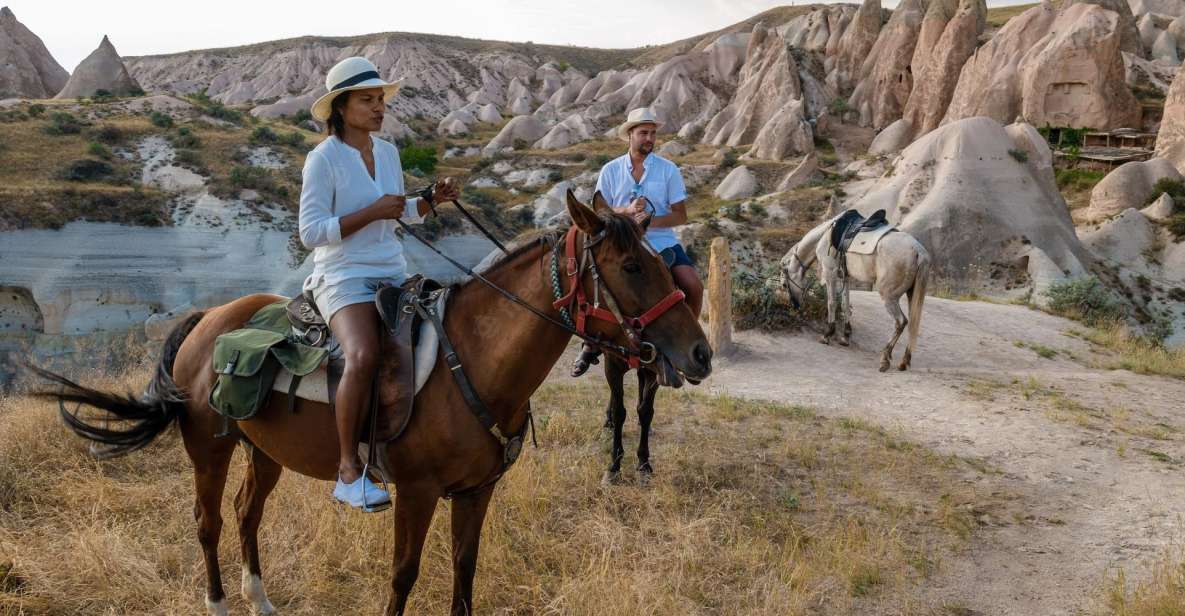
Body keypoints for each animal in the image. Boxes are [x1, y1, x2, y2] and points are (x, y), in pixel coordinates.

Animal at [32, 189, 706, 611]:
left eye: (658, 258)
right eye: (629, 266)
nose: (699, 353)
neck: (472, 363)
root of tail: (208, 320)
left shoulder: (476, 492)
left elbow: (464, 572)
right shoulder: (416, 492)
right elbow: (404, 577)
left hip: (263, 450)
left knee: (247, 514)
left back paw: (260, 599)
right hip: (208, 448)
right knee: (209, 521)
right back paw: (219, 603)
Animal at [782, 215, 929, 369]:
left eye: (784, 285)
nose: (795, 306)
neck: (824, 235)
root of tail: (919, 251)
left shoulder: (830, 273)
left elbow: (831, 303)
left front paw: (827, 334)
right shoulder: (845, 277)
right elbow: (845, 305)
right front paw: (846, 336)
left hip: (889, 297)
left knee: (901, 322)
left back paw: (885, 358)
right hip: (912, 294)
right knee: (912, 324)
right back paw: (904, 361)